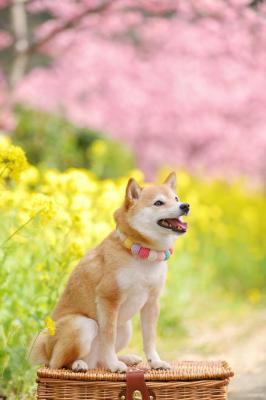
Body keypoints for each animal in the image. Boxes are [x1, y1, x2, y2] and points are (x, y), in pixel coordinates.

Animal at [29, 172, 189, 372]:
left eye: (176, 199)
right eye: (158, 203)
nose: (185, 206)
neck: (142, 256)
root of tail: (45, 349)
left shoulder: (151, 302)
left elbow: (149, 339)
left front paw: (155, 362)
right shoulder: (109, 299)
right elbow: (108, 337)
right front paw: (113, 365)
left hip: (126, 327)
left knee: (99, 360)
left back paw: (125, 359)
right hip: (83, 325)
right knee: (58, 363)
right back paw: (79, 364)